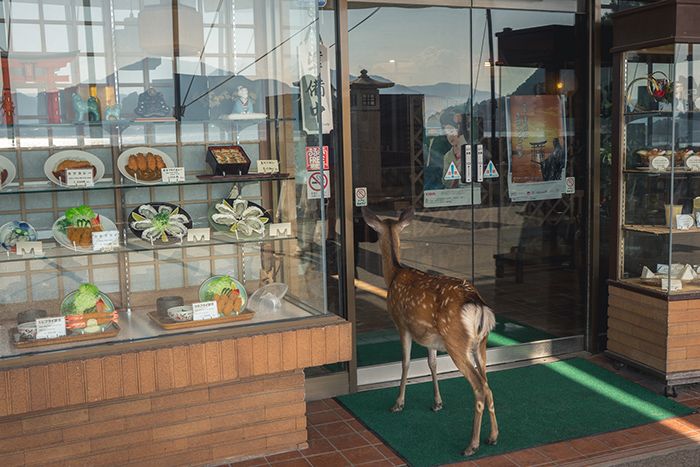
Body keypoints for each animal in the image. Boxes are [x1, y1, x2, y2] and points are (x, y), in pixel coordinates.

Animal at [361, 206, 498, 456]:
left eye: (375, 231)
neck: (394, 274)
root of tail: (478, 305)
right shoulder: (430, 338)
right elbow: (432, 364)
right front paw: (437, 402)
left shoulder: (402, 324)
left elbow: (405, 363)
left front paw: (398, 403)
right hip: (481, 344)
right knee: (488, 386)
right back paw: (492, 437)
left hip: (456, 342)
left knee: (479, 388)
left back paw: (471, 444)